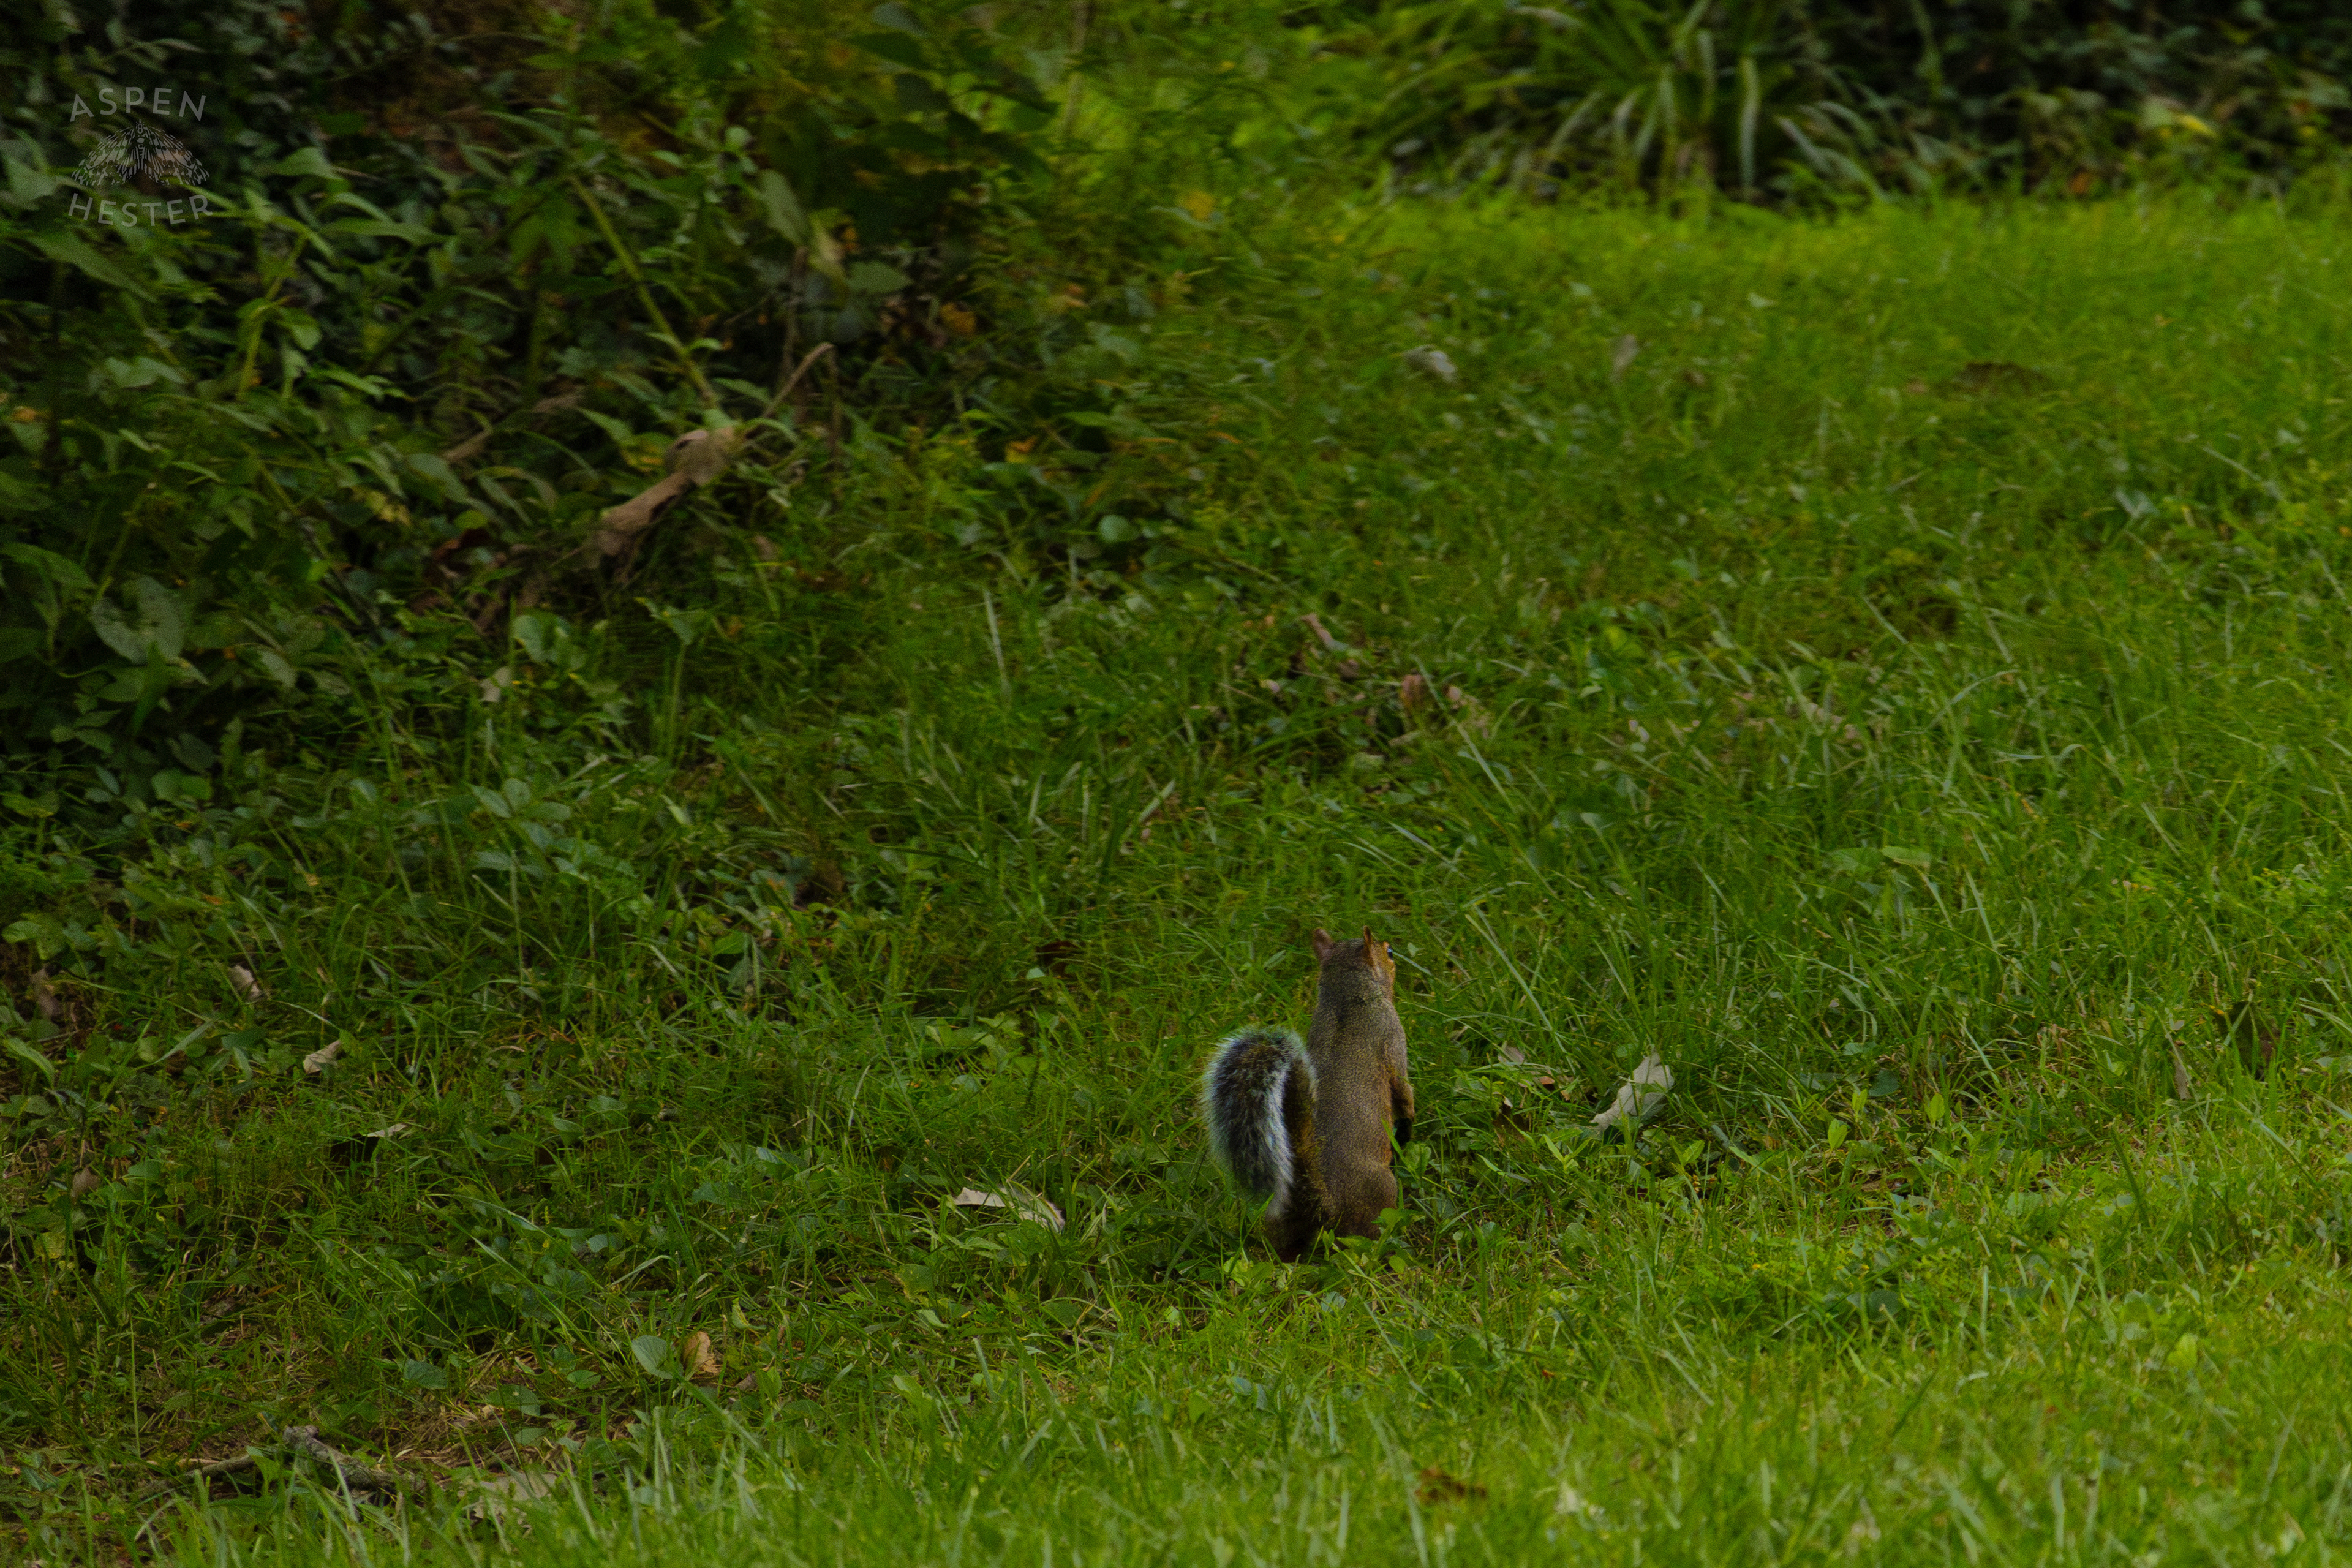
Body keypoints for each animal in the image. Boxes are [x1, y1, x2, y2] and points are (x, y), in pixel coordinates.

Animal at [1201, 927, 1416, 1260]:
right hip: (1382, 1191)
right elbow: (1403, 1088)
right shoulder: (1391, 1035)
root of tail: (1325, 1207)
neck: (1346, 998)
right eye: (1389, 952)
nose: (1396, 953)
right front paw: (1408, 1126)